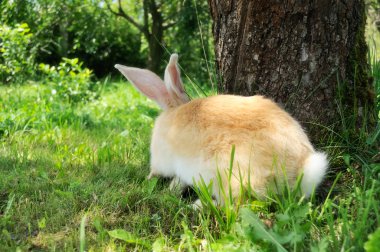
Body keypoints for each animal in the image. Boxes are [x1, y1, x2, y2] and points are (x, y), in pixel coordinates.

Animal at [114, 53, 328, 205]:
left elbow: (167, 175)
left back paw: (197, 206)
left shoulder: (165, 162)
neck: (174, 109)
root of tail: (297, 172)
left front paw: (152, 182)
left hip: (228, 176)